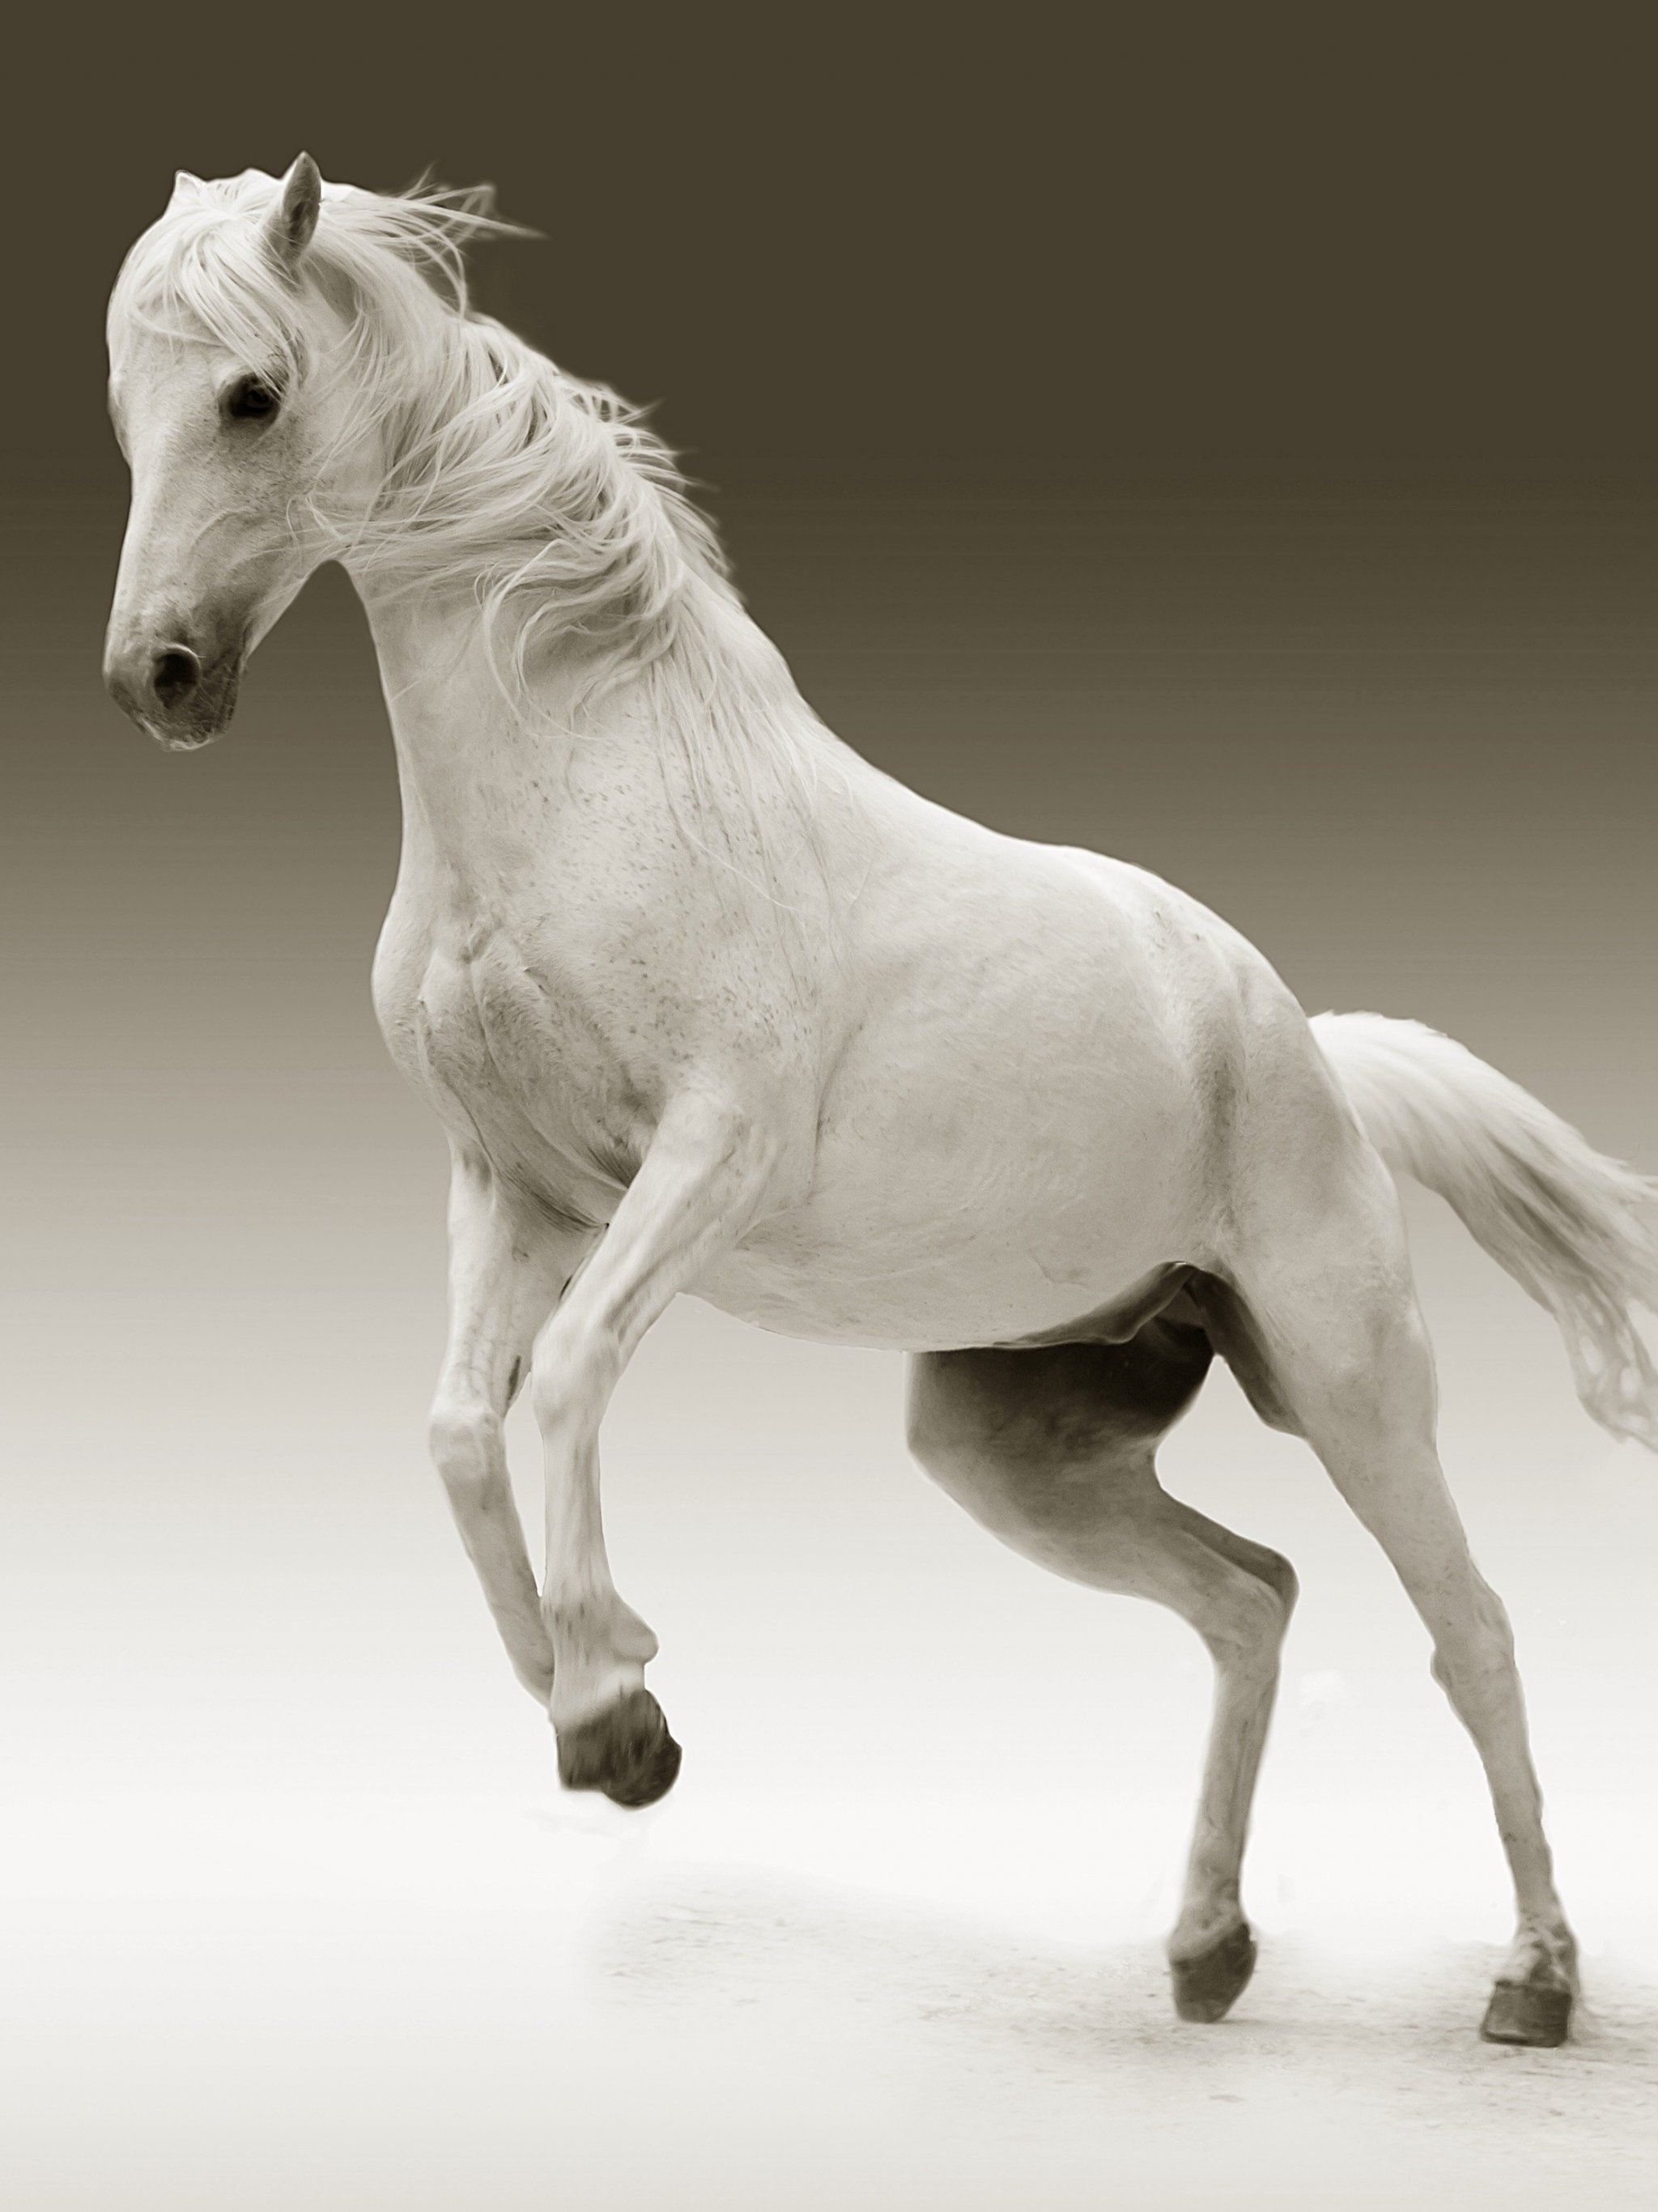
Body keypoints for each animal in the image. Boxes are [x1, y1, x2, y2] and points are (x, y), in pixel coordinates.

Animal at [103, 156, 1658, 2049]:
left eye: (251, 395)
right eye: (126, 405)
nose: (158, 678)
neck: (589, 786)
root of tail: (1303, 1047)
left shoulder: (704, 1159)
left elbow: (567, 1384)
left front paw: (613, 1710)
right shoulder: (511, 1186)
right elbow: (462, 1427)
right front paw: (599, 1711)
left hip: (1348, 1380)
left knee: (1471, 1629)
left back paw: (1533, 1979)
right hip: (1015, 1443)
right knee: (1249, 1599)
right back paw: (1205, 1947)